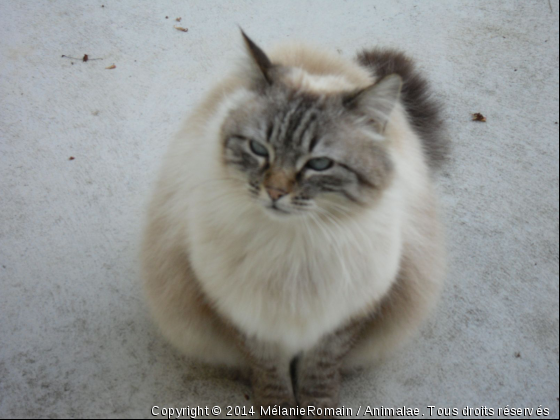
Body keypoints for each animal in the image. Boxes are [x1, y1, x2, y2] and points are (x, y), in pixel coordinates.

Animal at [142, 31, 448, 418]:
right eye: (259, 148)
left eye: (318, 164)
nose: (274, 192)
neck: (294, 245)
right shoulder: (249, 319)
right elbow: (270, 377)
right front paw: (277, 407)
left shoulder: (340, 322)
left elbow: (319, 376)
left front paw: (318, 408)